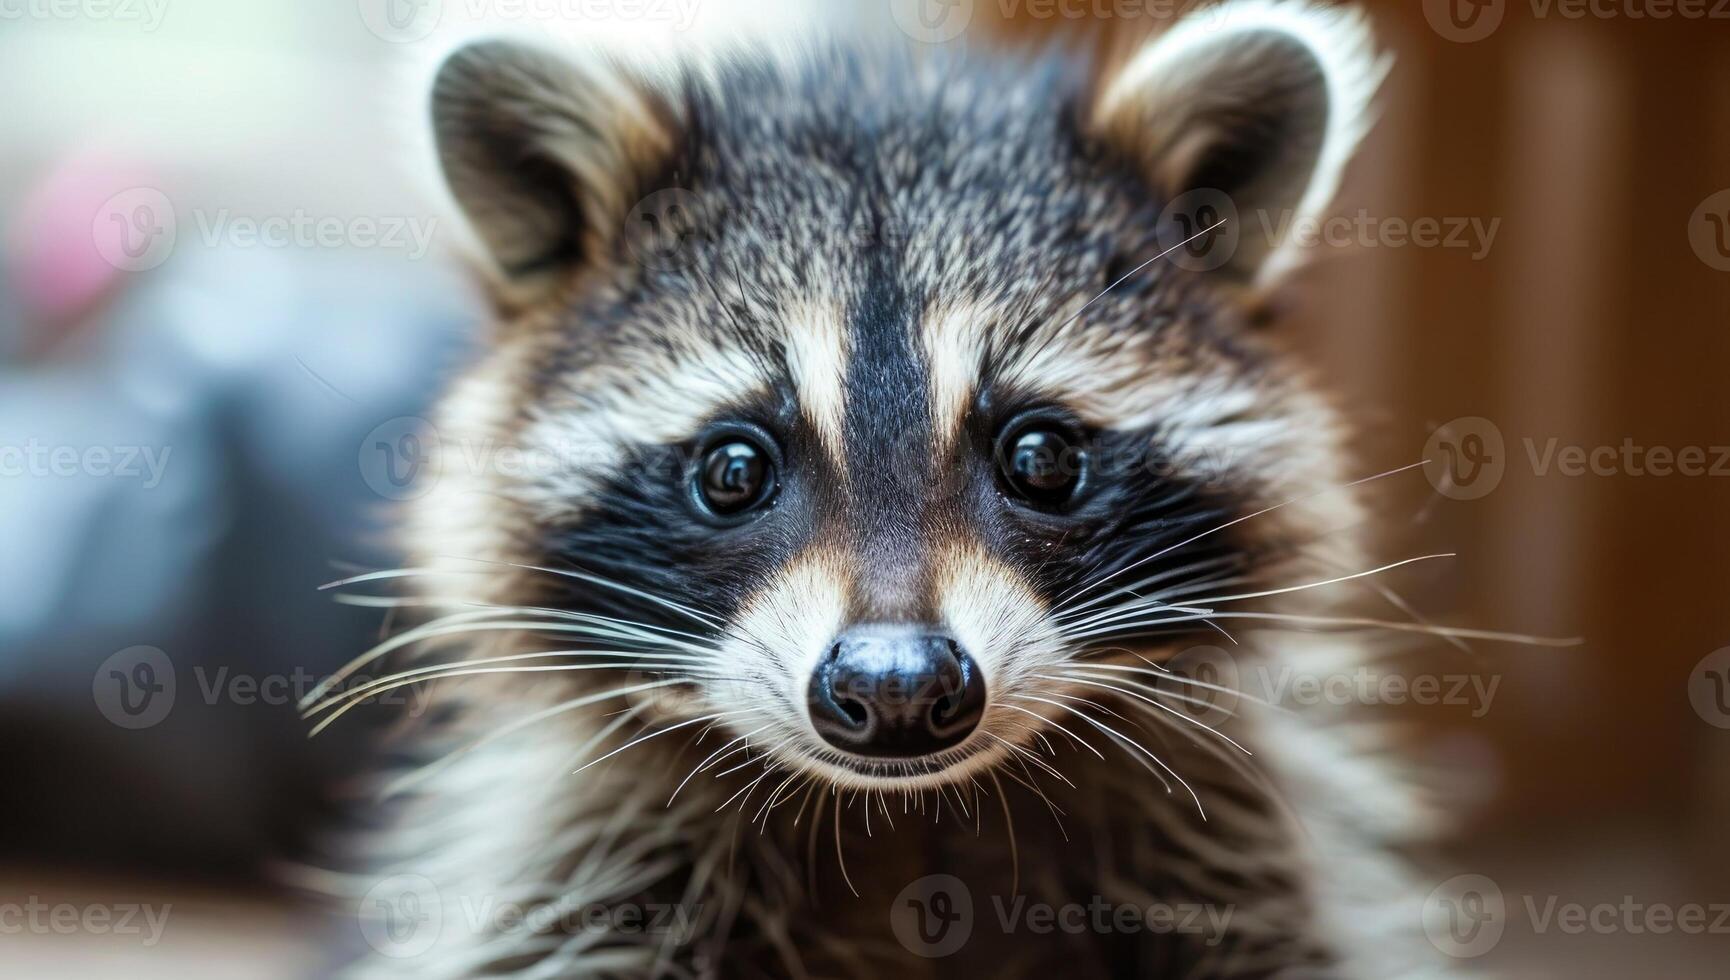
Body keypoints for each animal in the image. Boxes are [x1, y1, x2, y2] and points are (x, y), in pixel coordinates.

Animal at [326, 1, 1460, 980]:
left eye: (1040, 457)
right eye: (734, 471)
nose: (899, 688)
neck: (911, 813)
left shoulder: (1236, 864)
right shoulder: (582, 868)